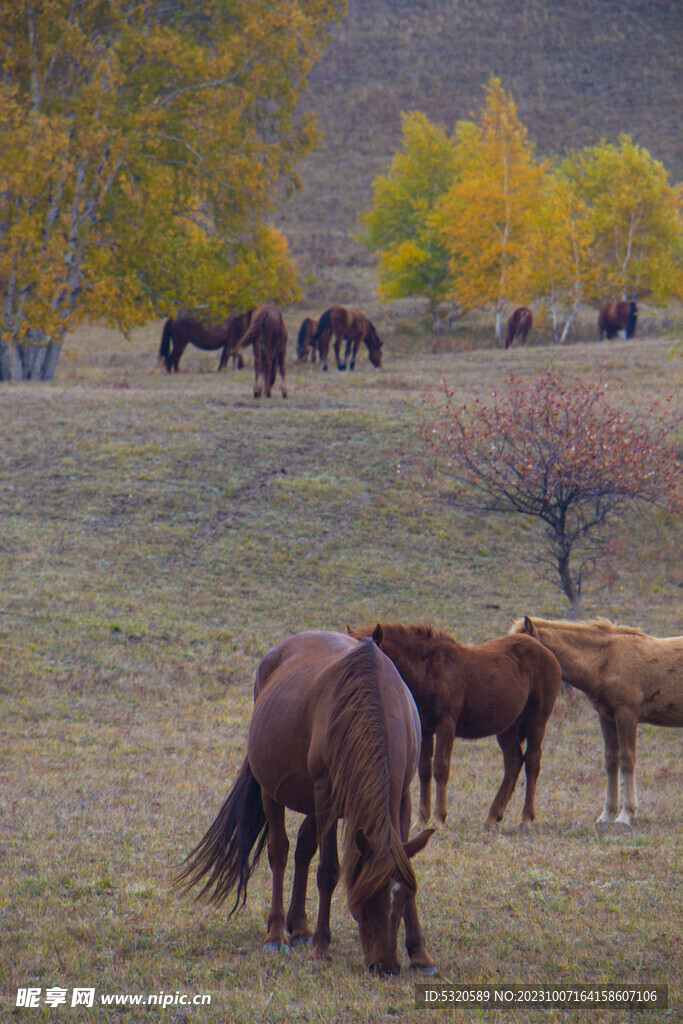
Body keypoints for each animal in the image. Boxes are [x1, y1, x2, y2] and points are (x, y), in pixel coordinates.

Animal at [348, 618, 561, 827]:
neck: (428, 670)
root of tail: (547, 652)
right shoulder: (425, 728)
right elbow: (424, 769)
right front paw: (421, 820)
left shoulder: (446, 724)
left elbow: (441, 768)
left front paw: (438, 819)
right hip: (508, 727)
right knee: (513, 762)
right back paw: (492, 817)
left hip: (537, 722)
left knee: (532, 762)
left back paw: (526, 818)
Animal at [509, 614, 679, 823]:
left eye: (522, 647)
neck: (606, 659)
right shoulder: (606, 717)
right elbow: (611, 761)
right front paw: (607, 815)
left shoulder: (627, 715)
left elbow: (627, 760)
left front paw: (626, 815)